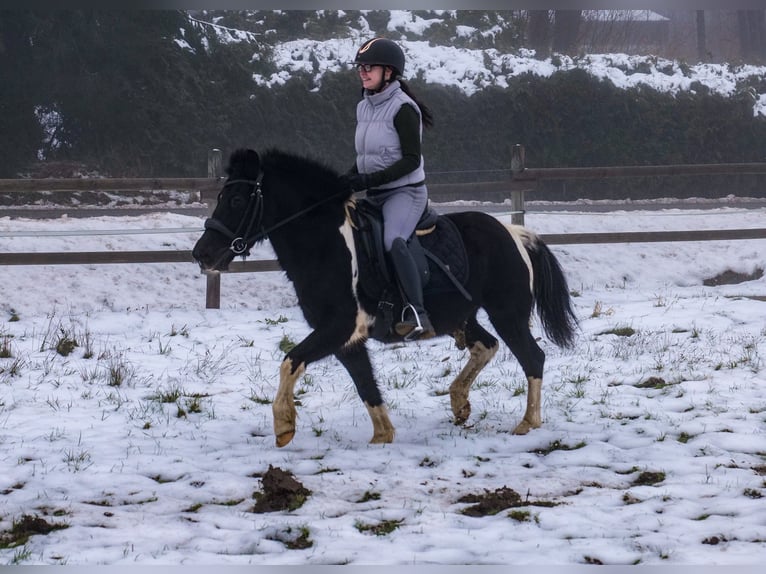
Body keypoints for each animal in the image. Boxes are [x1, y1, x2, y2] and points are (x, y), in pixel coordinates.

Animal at [195, 148, 580, 450]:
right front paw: (382, 436)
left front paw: (284, 425)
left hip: (507, 313)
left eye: (236, 200)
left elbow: (290, 361)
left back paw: (527, 424)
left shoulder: (338, 327)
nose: (203, 254)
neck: (325, 245)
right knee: (486, 345)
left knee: (532, 357)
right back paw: (459, 404)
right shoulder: (345, 338)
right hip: (462, 316)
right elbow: (365, 384)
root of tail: (515, 233)